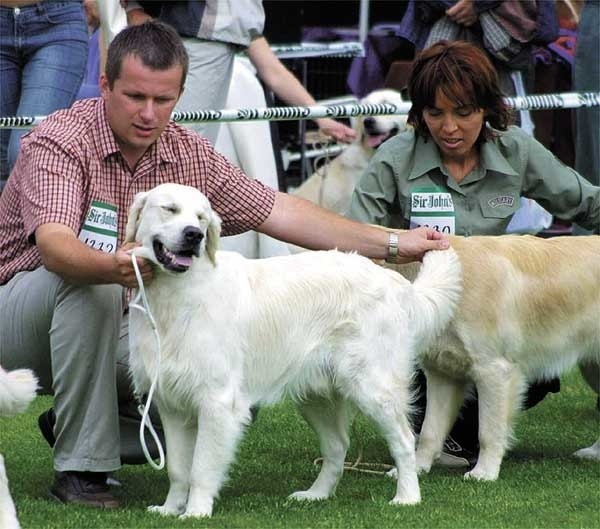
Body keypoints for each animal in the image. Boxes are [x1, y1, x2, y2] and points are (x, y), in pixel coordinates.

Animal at [125, 184, 464, 516]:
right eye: (169, 209)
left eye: (201, 218)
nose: (194, 235)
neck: (175, 294)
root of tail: (393, 281)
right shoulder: (170, 403)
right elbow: (177, 469)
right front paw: (169, 509)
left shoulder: (217, 400)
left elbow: (200, 468)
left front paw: (195, 512)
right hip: (316, 395)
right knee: (338, 446)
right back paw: (316, 494)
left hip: (373, 387)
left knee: (404, 441)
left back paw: (407, 497)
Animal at [384, 233, 600, 480]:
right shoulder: (443, 374)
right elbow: (430, 431)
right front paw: (417, 468)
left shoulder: (493, 371)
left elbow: (488, 431)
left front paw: (484, 473)